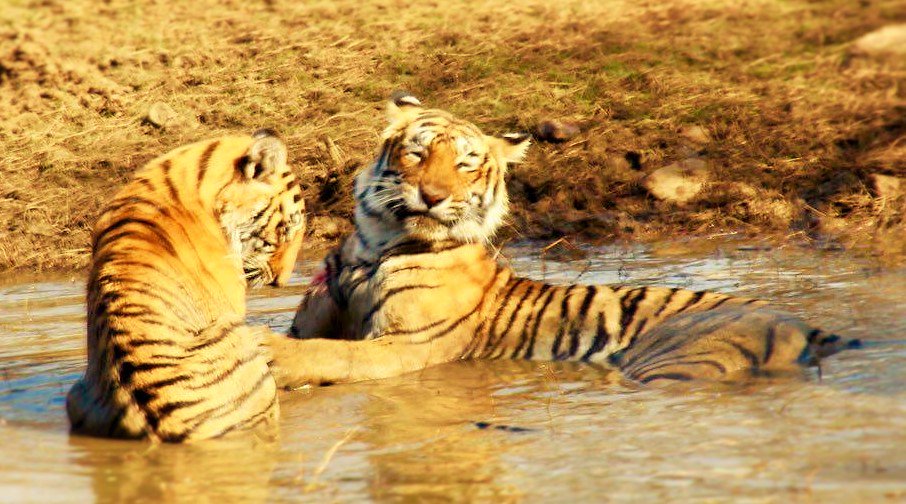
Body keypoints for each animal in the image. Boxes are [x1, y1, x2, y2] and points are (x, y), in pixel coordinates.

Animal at [264, 93, 860, 388]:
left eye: (465, 165)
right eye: (417, 152)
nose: (431, 196)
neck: (375, 246)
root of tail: (806, 324)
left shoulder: (406, 347)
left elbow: (330, 355)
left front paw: (272, 354)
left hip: (676, 361)